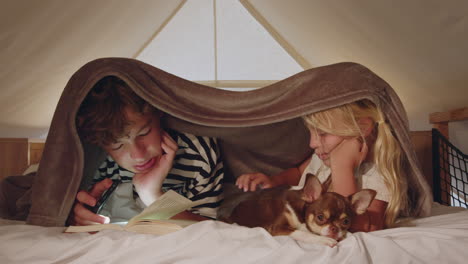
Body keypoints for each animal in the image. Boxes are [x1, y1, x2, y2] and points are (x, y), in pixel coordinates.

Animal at [219, 174, 376, 246]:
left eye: (346, 222)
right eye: (320, 217)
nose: (334, 229)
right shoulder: (276, 228)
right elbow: (302, 232)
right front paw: (324, 240)